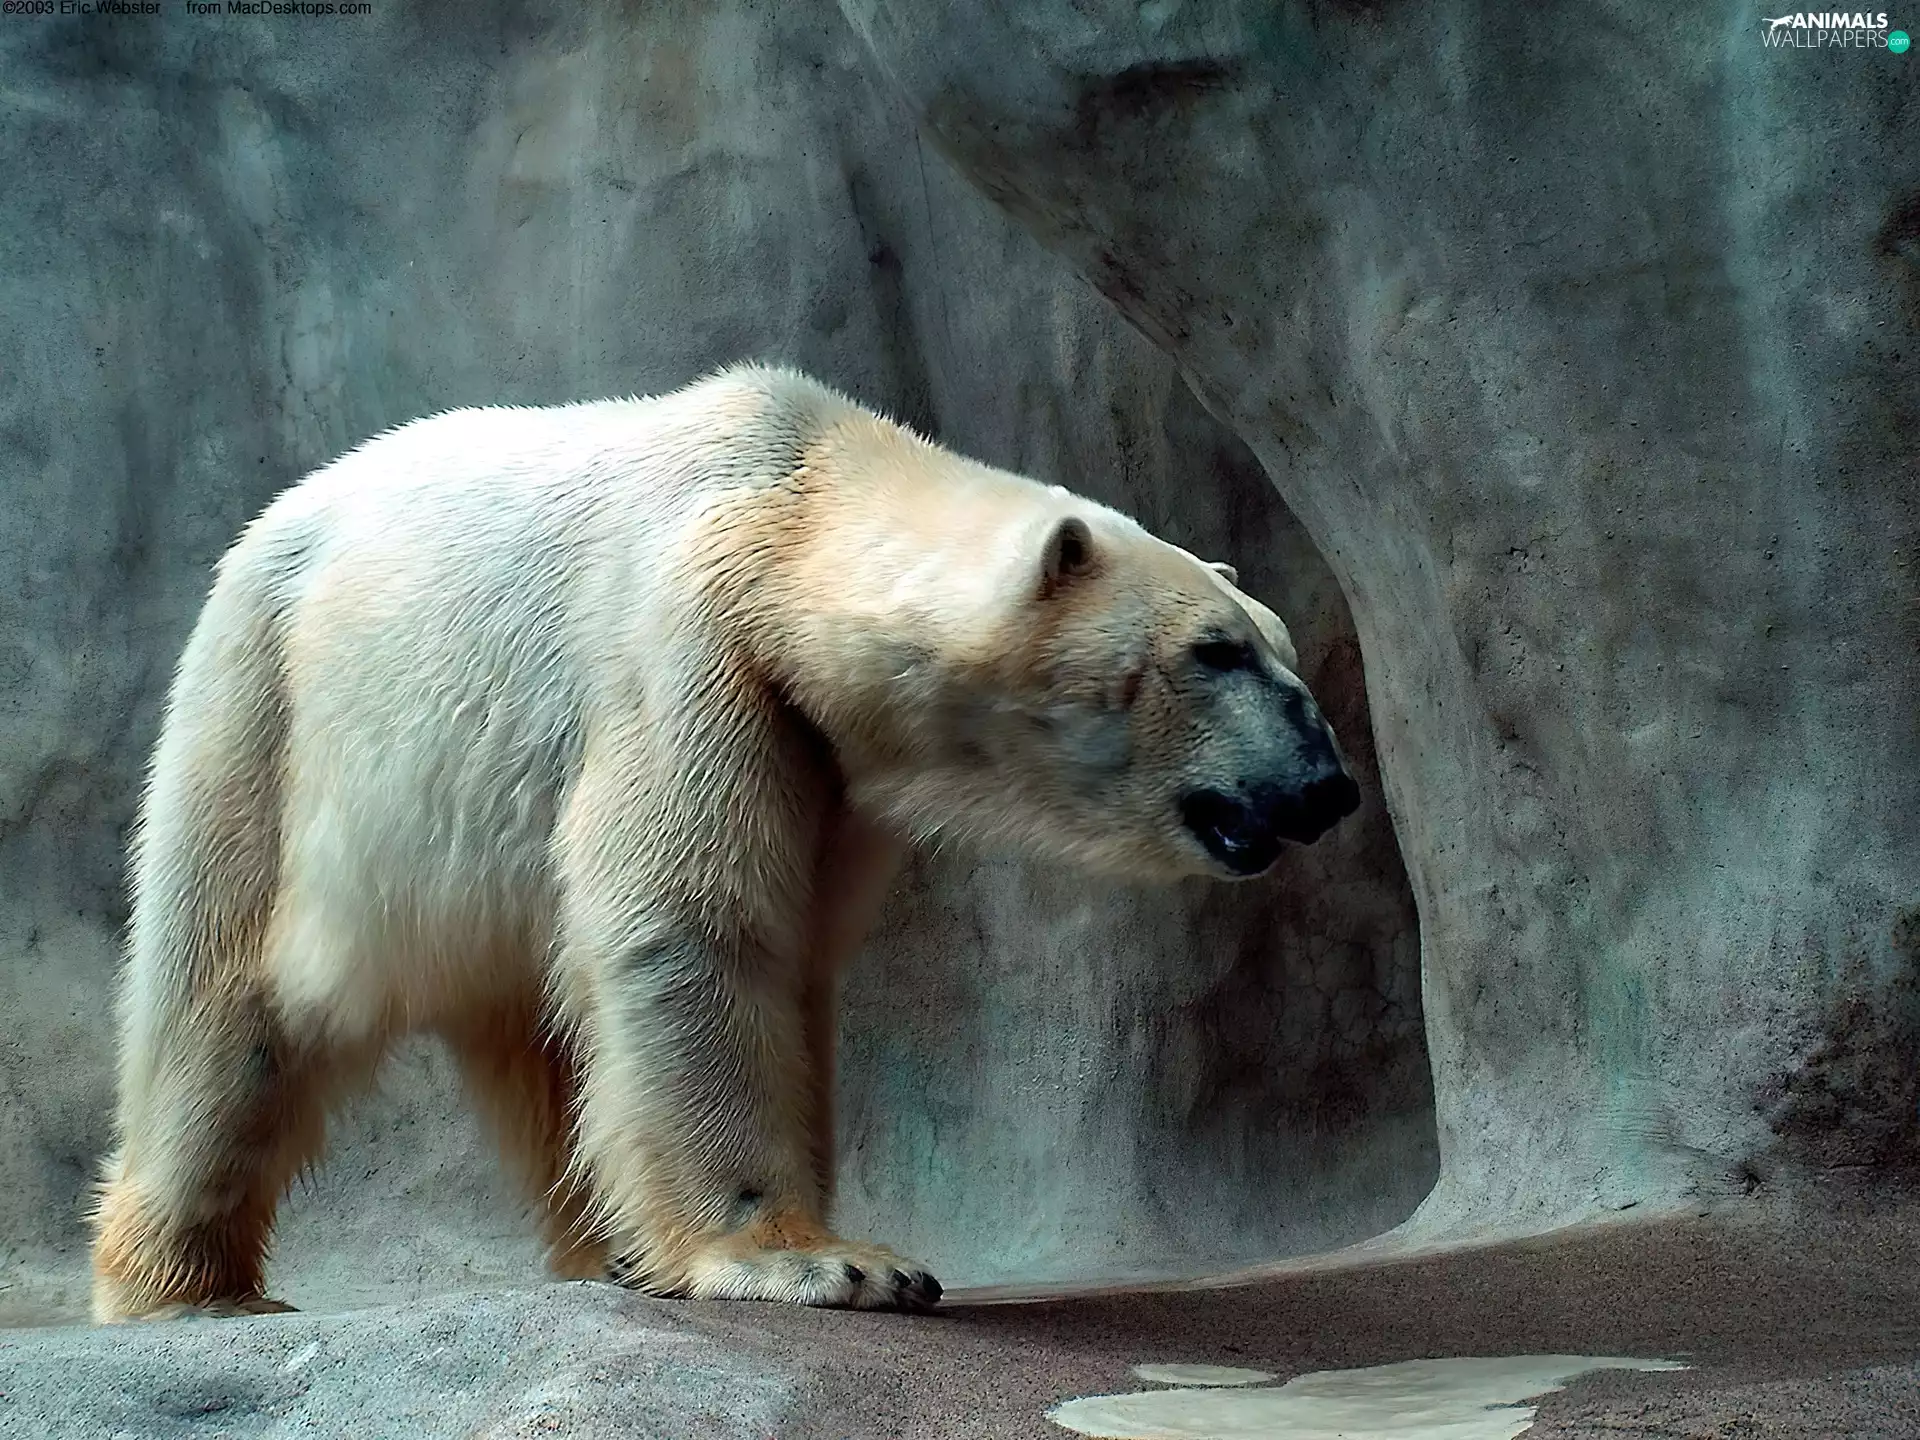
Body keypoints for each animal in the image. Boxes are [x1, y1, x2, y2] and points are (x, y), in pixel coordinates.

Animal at [88, 364, 1360, 1321]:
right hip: (270, 710)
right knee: (226, 1004)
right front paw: (828, 1262)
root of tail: (279, 520)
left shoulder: (827, 760)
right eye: (1213, 651)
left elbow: (787, 964)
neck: (787, 499)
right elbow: (696, 927)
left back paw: (609, 1247)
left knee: (547, 1032)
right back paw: (188, 1286)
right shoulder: (691, 651)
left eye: (1276, 644)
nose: (1330, 786)